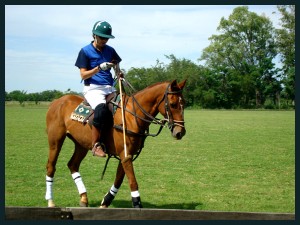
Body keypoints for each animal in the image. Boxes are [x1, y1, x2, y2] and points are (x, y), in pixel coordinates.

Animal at [45, 79, 185, 207]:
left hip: (81, 144)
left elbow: (119, 180)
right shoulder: (125, 154)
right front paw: (137, 205)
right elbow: (133, 182)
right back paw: (51, 201)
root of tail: (56, 102)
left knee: (73, 165)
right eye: (172, 104)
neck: (132, 116)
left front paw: (105, 202)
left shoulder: (127, 155)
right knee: (51, 166)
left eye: (183, 103)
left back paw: (84, 199)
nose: (180, 132)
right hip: (55, 140)